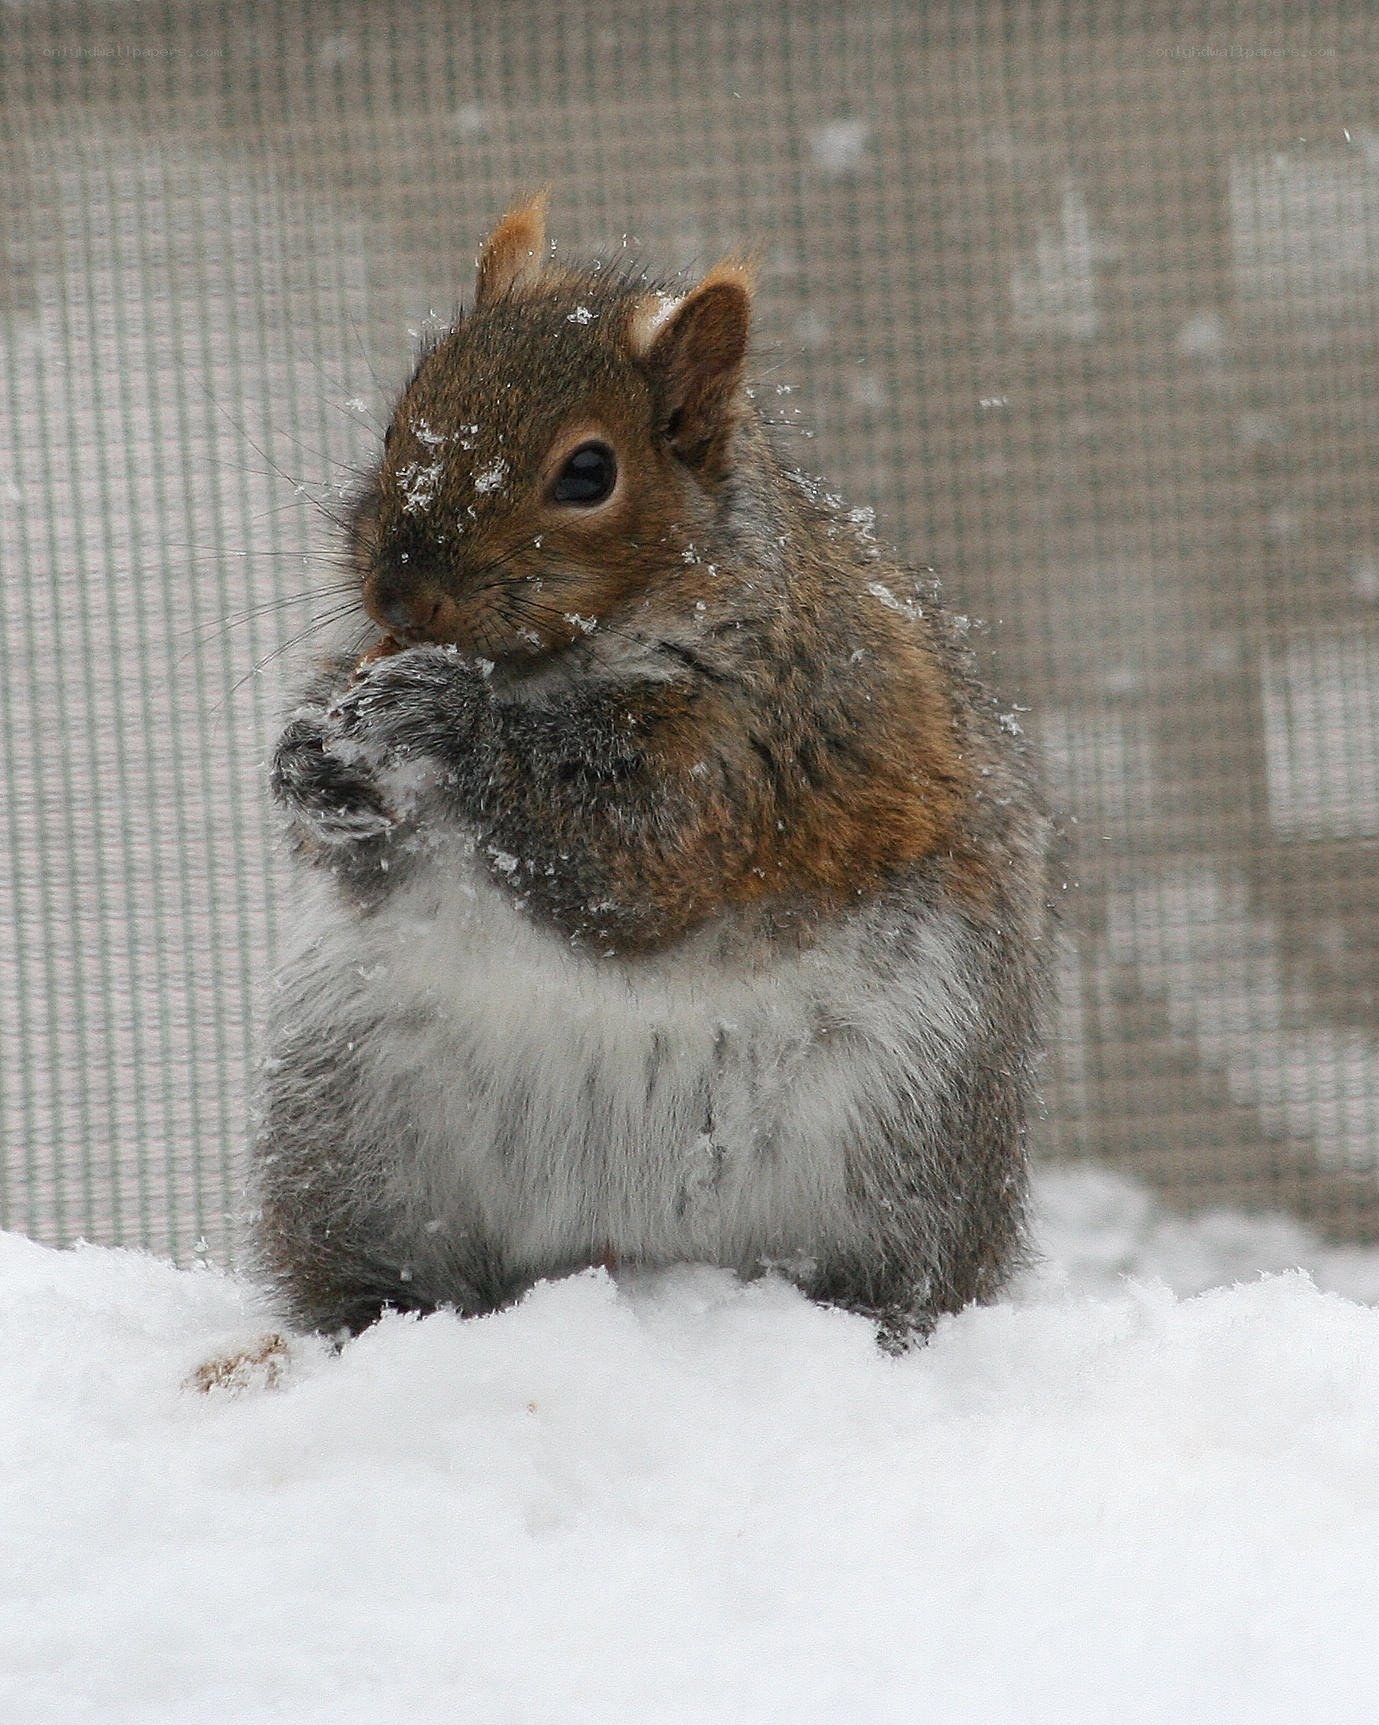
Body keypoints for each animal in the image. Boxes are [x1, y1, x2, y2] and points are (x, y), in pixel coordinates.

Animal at [249, 193, 1056, 1350]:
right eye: (401, 418)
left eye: (588, 473)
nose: (398, 593)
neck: (546, 673)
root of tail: (625, 1252)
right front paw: (308, 758)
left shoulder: (752, 753)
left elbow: (630, 858)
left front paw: (438, 716)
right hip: (352, 1134)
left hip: (907, 1139)